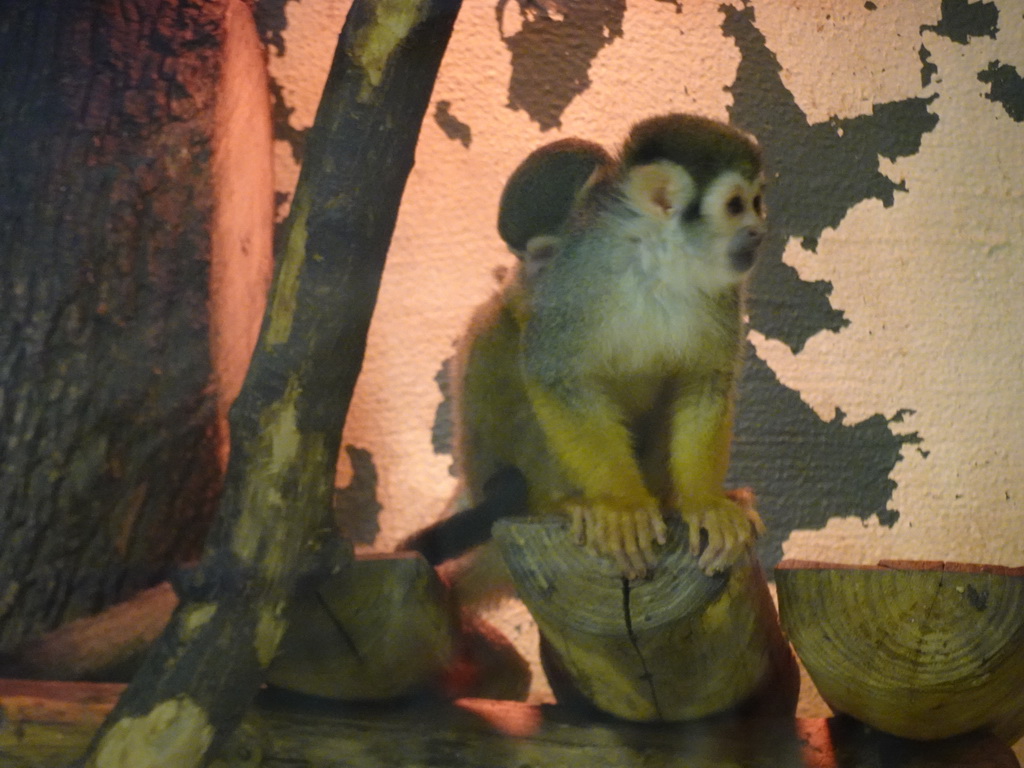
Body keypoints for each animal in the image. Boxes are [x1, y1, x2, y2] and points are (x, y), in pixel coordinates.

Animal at [411, 117, 765, 606]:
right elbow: (555, 376)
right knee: (501, 334)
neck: (659, 262)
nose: (757, 231)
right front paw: (623, 506)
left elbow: (703, 380)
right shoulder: (576, 279)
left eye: (755, 202)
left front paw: (704, 502)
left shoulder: (724, 294)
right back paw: (563, 504)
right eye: (734, 206)